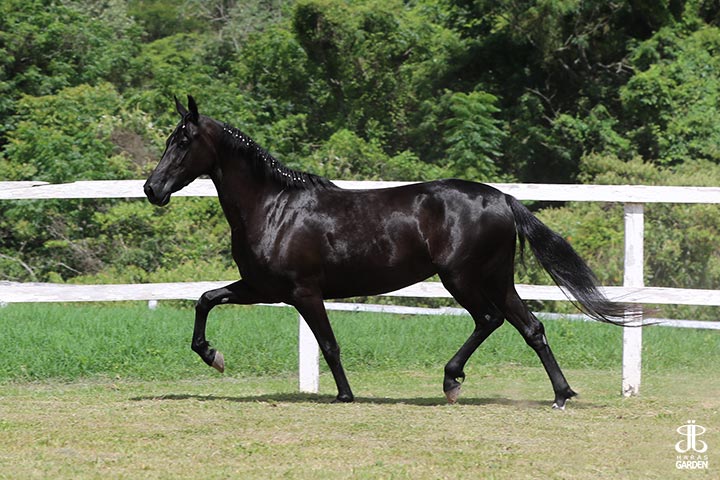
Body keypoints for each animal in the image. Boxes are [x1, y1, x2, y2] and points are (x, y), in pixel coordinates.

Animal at [144, 95, 631, 409]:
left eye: (182, 141)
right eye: (169, 138)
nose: (152, 189)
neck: (273, 207)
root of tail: (501, 198)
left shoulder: (303, 293)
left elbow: (329, 344)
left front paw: (344, 395)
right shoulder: (262, 288)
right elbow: (206, 299)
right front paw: (213, 356)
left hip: (462, 278)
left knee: (489, 319)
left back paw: (452, 381)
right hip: (496, 278)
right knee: (530, 327)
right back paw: (561, 395)